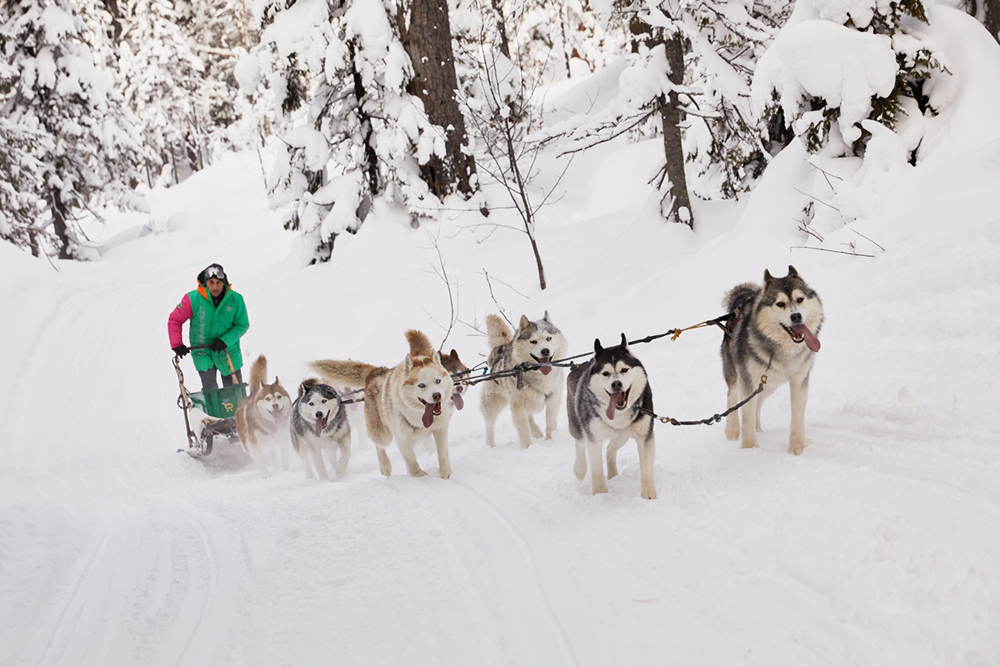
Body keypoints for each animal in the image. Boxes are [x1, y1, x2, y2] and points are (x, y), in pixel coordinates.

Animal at [308, 330, 458, 478]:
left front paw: (445, 473)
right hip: (383, 434)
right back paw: (385, 466)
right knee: (379, 446)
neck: (419, 415)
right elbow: (410, 458)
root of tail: (375, 372)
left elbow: (442, 453)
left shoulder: (440, 429)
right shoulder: (401, 437)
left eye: (438, 381)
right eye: (421, 385)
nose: (437, 395)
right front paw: (418, 475)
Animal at [480, 314, 568, 448]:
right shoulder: (518, 406)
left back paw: (536, 432)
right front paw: (528, 448)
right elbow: (524, 431)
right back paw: (490, 446)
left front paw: (551, 440)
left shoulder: (553, 400)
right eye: (533, 341)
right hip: (492, 404)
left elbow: (551, 424)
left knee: (530, 417)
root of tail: (501, 349)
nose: (545, 350)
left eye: (548, 338)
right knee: (489, 425)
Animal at [572, 336, 656, 498]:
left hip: (622, 436)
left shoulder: (645, 436)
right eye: (605, 373)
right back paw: (579, 469)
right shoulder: (593, 439)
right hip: (579, 425)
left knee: (610, 449)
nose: (616, 383)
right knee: (579, 443)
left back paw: (613, 474)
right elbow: (597, 470)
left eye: (624, 370)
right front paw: (600, 494)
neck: (618, 415)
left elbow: (647, 469)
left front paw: (649, 496)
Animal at [724, 266, 824, 454]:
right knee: (732, 397)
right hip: (738, 377)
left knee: (757, 402)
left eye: (800, 299)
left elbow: (797, 416)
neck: (784, 350)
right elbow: (746, 417)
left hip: (768, 385)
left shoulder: (799, 380)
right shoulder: (747, 381)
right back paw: (732, 430)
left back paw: (758, 428)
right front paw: (750, 449)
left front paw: (797, 446)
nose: (796, 316)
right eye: (780, 304)